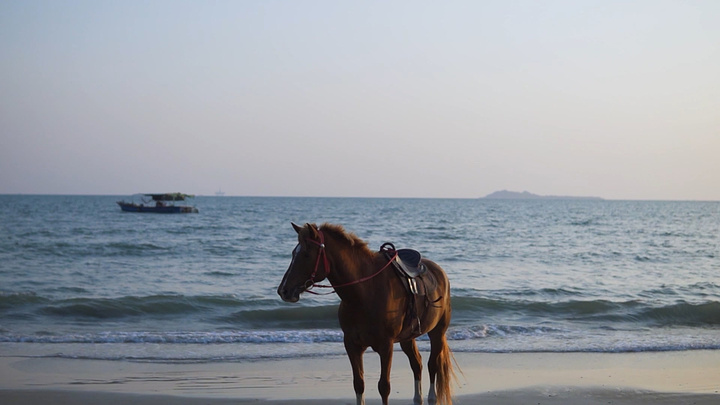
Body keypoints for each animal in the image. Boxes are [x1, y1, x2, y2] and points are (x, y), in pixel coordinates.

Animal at [278, 223, 456, 402]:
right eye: (293, 253)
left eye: (306, 254)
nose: (283, 290)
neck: (365, 292)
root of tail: (440, 272)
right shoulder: (352, 345)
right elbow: (359, 384)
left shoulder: (386, 346)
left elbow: (384, 387)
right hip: (408, 337)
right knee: (417, 364)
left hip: (437, 332)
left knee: (432, 364)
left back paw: (432, 397)